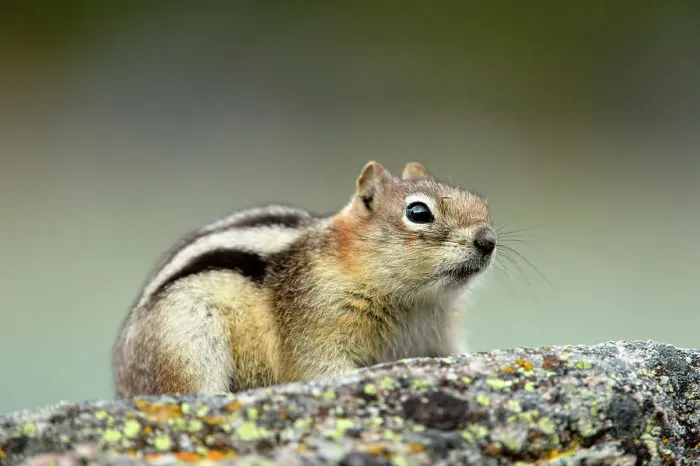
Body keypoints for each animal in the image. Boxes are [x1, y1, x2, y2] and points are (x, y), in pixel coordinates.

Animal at [111, 161, 497, 397]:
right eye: (418, 212)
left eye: (482, 204)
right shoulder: (316, 322)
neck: (415, 301)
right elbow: (318, 367)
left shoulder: (440, 338)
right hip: (187, 341)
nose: (488, 241)